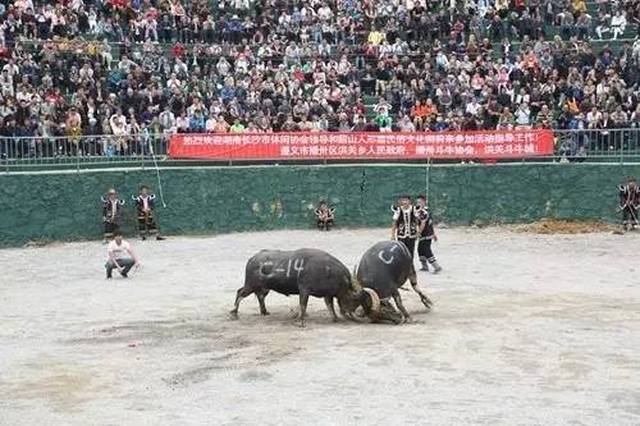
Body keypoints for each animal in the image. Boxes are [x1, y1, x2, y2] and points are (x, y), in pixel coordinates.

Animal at [230, 248, 380, 328]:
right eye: (355, 299)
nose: (353, 315)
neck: (327, 270)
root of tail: (252, 258)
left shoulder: (327, 294)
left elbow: (330, 306)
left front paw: (335, 318)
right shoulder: (304, 290)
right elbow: (303, 305)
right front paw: (301, 322)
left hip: (263, 287)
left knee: (260, 296)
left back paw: (264, 311)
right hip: (251, 285)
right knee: (240, 293)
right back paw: (234, 313)